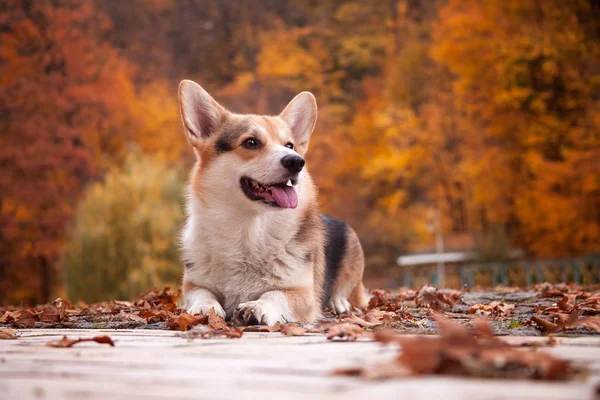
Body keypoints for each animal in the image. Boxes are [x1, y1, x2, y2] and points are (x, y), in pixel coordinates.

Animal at [177, 80, 366, 324]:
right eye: (251, 142)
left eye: (290, 146)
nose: (297, 162)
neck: (248, 230)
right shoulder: (193, 284)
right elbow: (202, 294)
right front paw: (204, 307)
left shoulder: (302, 294)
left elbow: (275, 294)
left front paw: (258, 307)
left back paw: (339, 303)